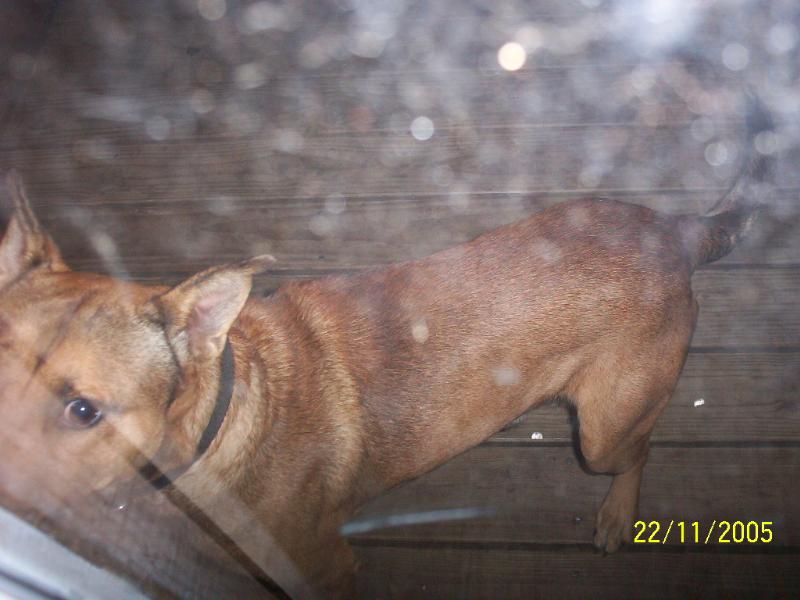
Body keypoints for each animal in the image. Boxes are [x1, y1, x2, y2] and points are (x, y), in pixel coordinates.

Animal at [0, 109, 771, 598]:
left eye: (82, 410)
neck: (227, 418)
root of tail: (675, 228)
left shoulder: (327, 567)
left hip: (605, 431)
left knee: (640, 450)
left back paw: (616, 514)